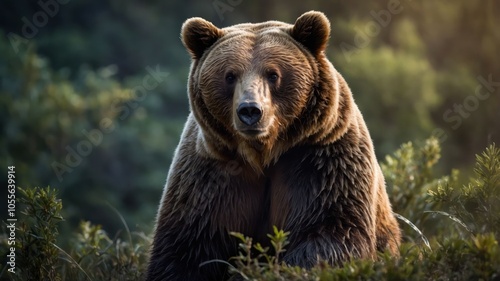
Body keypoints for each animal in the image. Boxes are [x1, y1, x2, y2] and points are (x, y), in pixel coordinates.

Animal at [146, 10, 400, 280]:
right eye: (229, 75)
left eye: (273, 74)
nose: (249, 111)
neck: (262, 152)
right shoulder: (211, 173)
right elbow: (187, 245)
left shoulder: (322, 159)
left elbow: (332, 231)